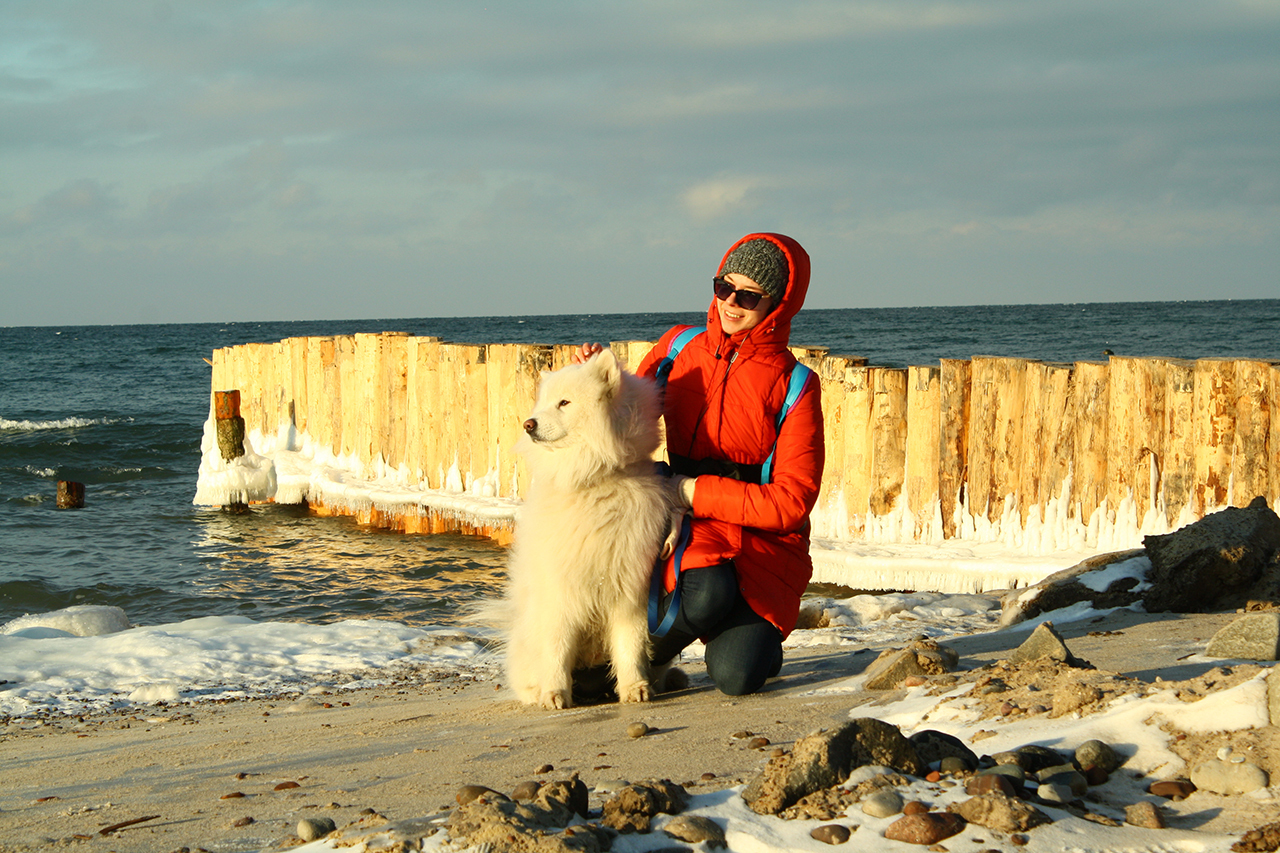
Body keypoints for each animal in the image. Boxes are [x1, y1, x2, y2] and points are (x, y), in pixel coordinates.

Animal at [501, 348, 670, 712]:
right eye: (544, 403)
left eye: (564, 402)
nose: (528, 424)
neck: (593, 480)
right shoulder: (560, 589)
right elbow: (557, 646)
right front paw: (554, 693)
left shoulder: (630, 586)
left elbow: (631, 643)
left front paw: (635, 687)